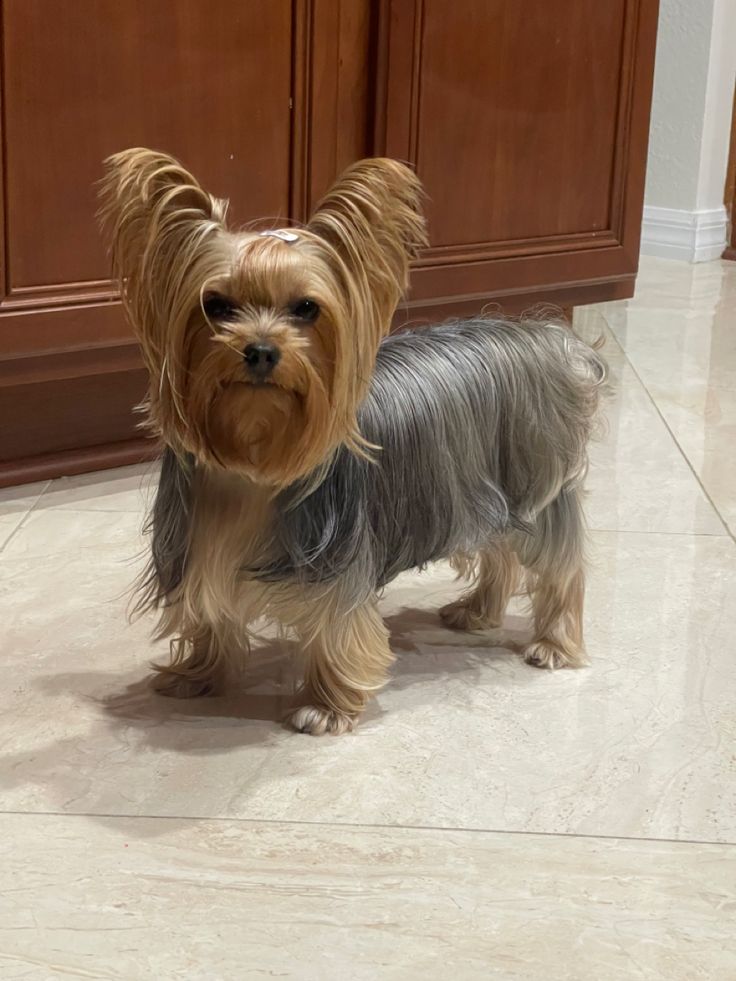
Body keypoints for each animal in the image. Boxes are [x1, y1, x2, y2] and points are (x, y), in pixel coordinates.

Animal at [99, 149, 604, 732]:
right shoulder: (200, 546)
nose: (261, 350)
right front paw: (197, 675)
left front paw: (324, 706)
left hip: (535, 489)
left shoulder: (339, 569)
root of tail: (548, 336)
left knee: (560, 566)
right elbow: (209, 609)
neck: (251, 460)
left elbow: (337, 630)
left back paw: (553, 644)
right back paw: (477, 611)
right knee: (500, 550)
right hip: (481, 495)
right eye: (216, 305)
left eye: (307, 308)